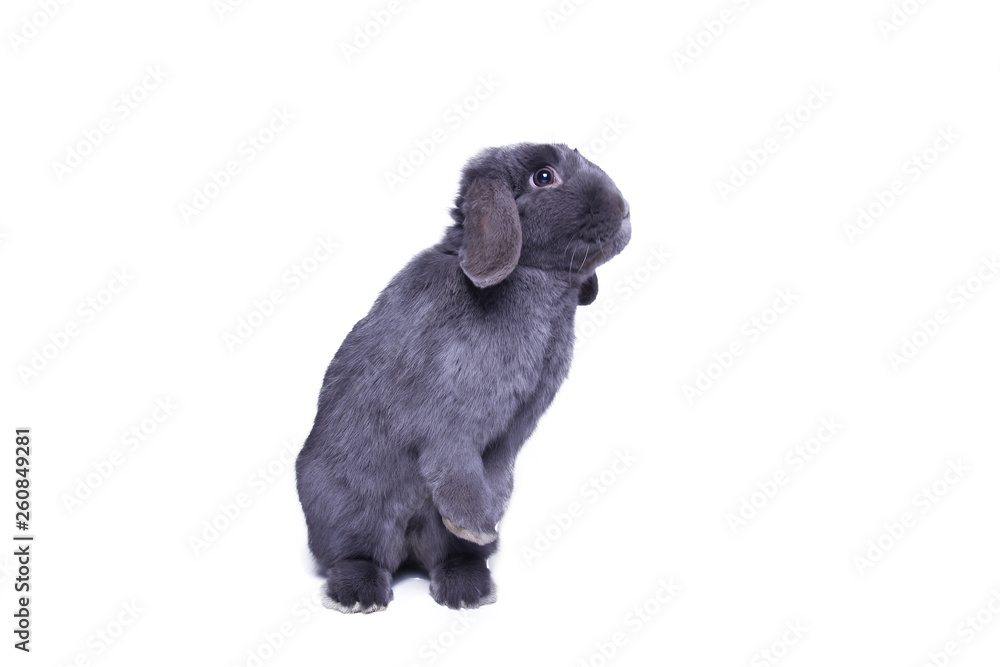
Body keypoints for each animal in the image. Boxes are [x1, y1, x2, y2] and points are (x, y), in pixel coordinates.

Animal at [292, 144, 628, 612]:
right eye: (544, 177)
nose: (625, 209)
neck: (533, 278)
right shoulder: (450, 420)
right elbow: (452, 463)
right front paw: (477, 525)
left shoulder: (508, 439)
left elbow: (491, 476)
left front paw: (487, 525)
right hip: (350, 508)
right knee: (358, 554)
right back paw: (358, 594)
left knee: (447, 554)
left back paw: (469, 588)